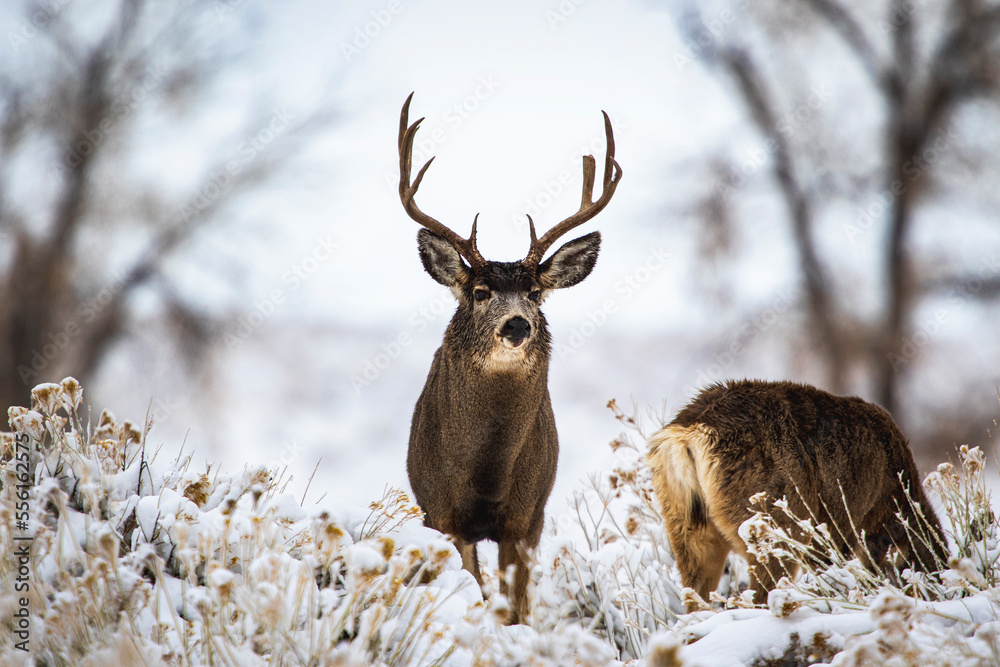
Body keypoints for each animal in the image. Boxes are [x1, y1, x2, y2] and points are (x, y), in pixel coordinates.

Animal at [398, 94, 622, 623]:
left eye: (536, 294)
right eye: (480, 292)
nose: (517, 325)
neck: (486, 474)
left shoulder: (528, 517)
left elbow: (515, 608)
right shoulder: (443, 514)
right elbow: (476, 595)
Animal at [647, 379, 947, 611]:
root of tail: (688, 432)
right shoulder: (841, 522)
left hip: (683, 522)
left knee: (693, 599)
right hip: (774, 517)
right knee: (762, 593)